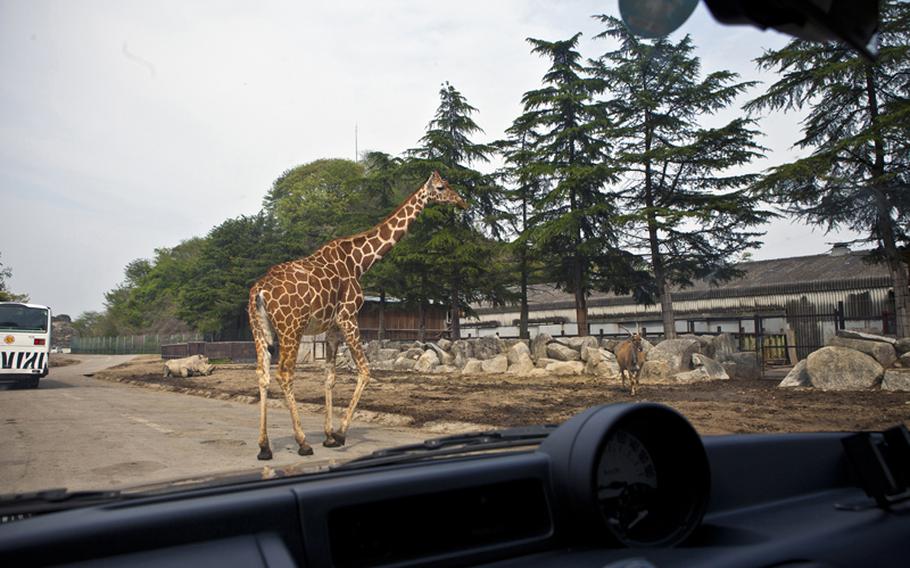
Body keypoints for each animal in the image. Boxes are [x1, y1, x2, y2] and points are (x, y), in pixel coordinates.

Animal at [248, 171, 466, 460]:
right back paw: (302, 443)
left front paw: (329, 435)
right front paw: (340, 434)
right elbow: (364, 370)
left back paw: (264, 447)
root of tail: (260, 291)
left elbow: (329, 376)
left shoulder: (331, 326)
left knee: (262, 374)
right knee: (284, 374)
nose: (462, 201)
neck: (359, 262)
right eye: (442, 187)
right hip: (290, 328)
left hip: (260, 330)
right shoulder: (348, 316)